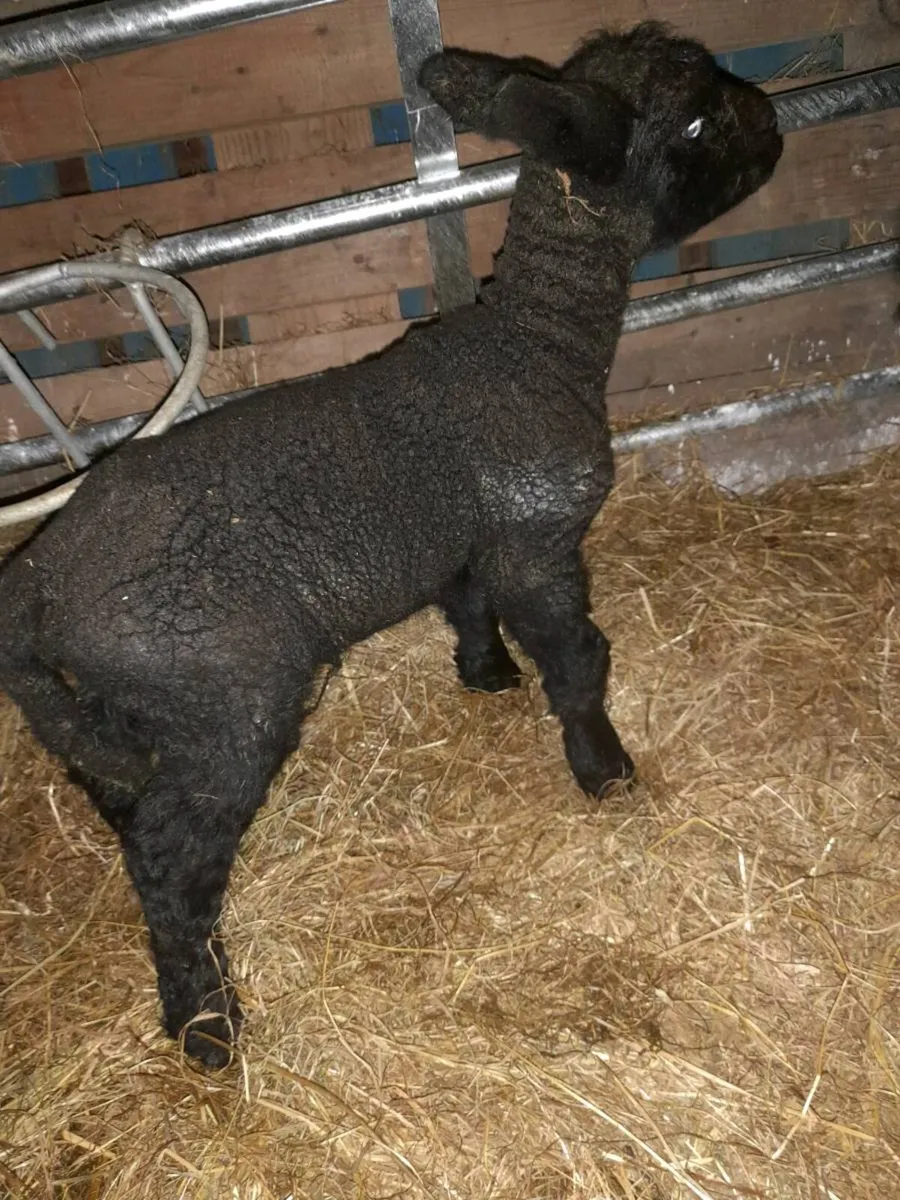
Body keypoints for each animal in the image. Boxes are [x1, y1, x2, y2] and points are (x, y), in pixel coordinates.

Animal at [0, 22, 782, 1067]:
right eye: (695, 120)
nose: (775, 122)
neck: (537, 344)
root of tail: (35, 584)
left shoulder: (473, 537)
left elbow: (467, 605)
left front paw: (487, 677)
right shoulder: (539, 536)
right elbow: (579, 660)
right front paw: (605, 771)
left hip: (109, 706)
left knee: (117, 797)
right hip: (223, 690)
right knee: (170, 861)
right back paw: (206, 1026)